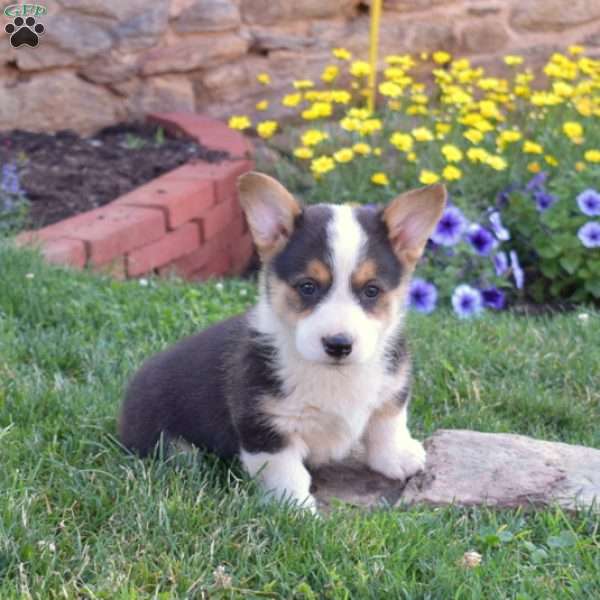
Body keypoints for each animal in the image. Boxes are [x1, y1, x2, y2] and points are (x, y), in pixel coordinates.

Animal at [118, 172, 446, 510]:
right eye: (307, 286)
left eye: (371, 290)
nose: (339, 345)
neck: (333, 374)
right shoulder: (266, 427)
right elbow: (287, 473)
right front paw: (297, 510)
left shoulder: (392, 391)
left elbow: (387, 424)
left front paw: (399, 458)